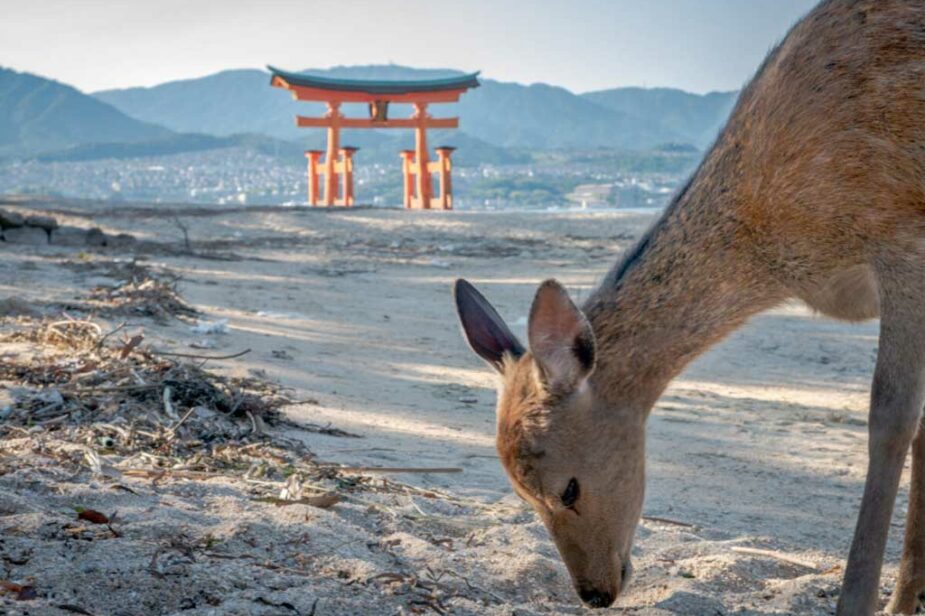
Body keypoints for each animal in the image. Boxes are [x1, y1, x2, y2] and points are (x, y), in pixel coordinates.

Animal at [453, 1, 925, 613]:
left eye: (569, 487)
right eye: (521, 494)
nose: (596, 593)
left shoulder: (905, 243)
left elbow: (892, 417)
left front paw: (868, 602)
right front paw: (905, 596)